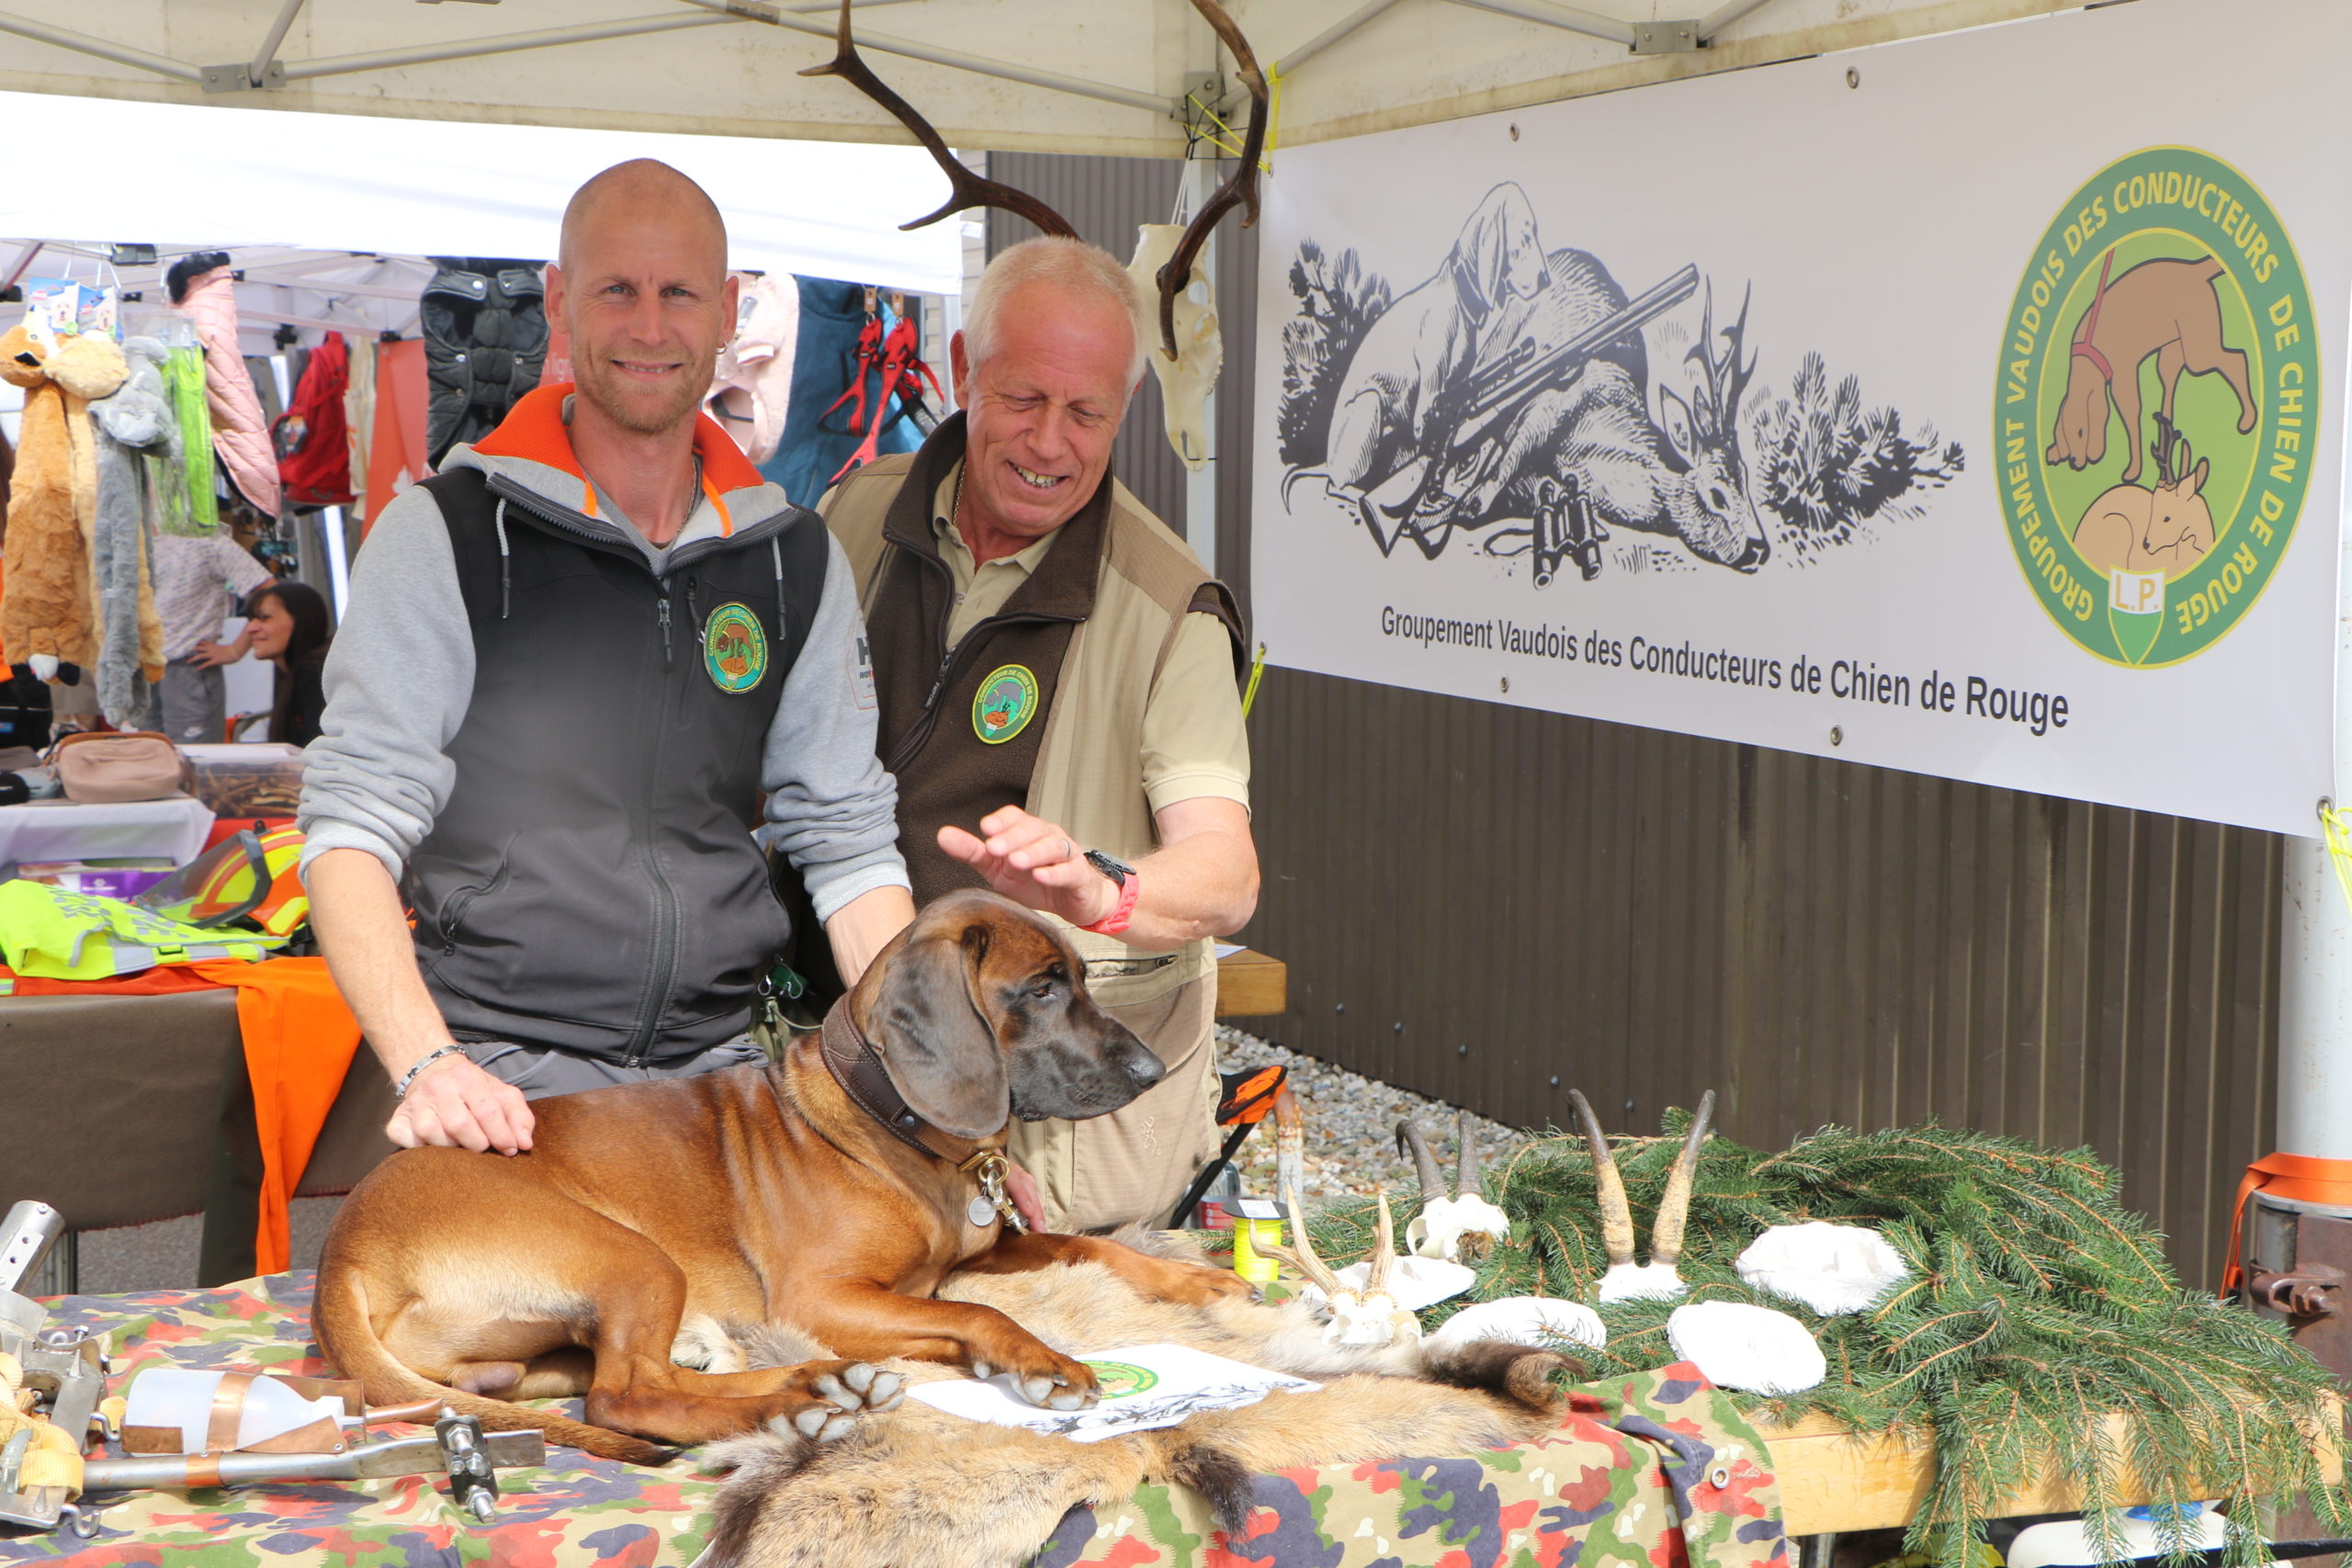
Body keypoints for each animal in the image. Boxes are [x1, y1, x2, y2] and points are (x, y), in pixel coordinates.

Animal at [312, 888, 1252, 1465]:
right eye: (1044, 988)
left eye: (1082, 977)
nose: (1153, 1070)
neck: (893, 1129)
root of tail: (344, 1252)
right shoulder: (825, 1297)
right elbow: (979, 1312)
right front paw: (1040, 1358)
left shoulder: (964, 1264)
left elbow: (1098, 1252)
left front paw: (1198, 1283)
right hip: (634, 1258)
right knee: (628, 1396)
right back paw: (785, 1407)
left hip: (540, 1347)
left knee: (640, 1377)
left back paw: (820, 1383)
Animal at [2046, 253, 2256, 484]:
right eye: (2067, 436)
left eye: (2082, 432)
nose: (2076, 463)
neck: (2089, 351)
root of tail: (2194, 268)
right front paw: (2056, 451)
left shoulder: (2123, 373)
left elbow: (2131, 414)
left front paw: (2134, 469)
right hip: (2174, 346)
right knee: (2171, 378)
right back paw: (2166, 422)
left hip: (2198, 351)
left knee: (2236, 359)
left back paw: (2248, 418)